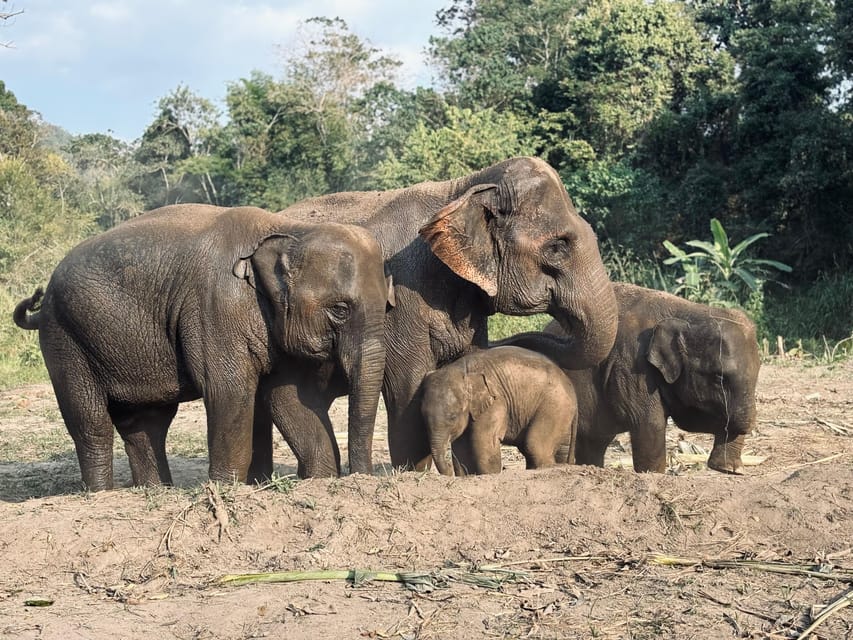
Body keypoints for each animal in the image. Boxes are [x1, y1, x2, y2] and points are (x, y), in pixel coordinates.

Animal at [13, 205, 390, 490]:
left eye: (388, 307)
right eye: (340, 309)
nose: (360, 479)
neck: (289, 229)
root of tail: (43, 301)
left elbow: (290, 399)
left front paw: (321, 480)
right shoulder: (216, 308)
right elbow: (229, 391)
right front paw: (225, 488)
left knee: (145, 422)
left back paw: (155, 491)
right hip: (65, 339)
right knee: (91, 422)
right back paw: (101, 494)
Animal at [422, 344, 580, 476]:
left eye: (453, 417)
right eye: (422, 417)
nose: (448, 472)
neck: (462, 369)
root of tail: (570, 385)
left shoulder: (496, 401)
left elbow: (484, 440)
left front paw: (490, 475)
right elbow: (461, 447)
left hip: (555, 405)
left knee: (534, 445)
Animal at [512, 282, 760, 472]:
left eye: (757, 376)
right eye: (719, 378)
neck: (685, 311)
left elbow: (698, 419)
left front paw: (729, 470)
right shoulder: (632, 366)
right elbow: (650, 423)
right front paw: (654, 474)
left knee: (594, 441)